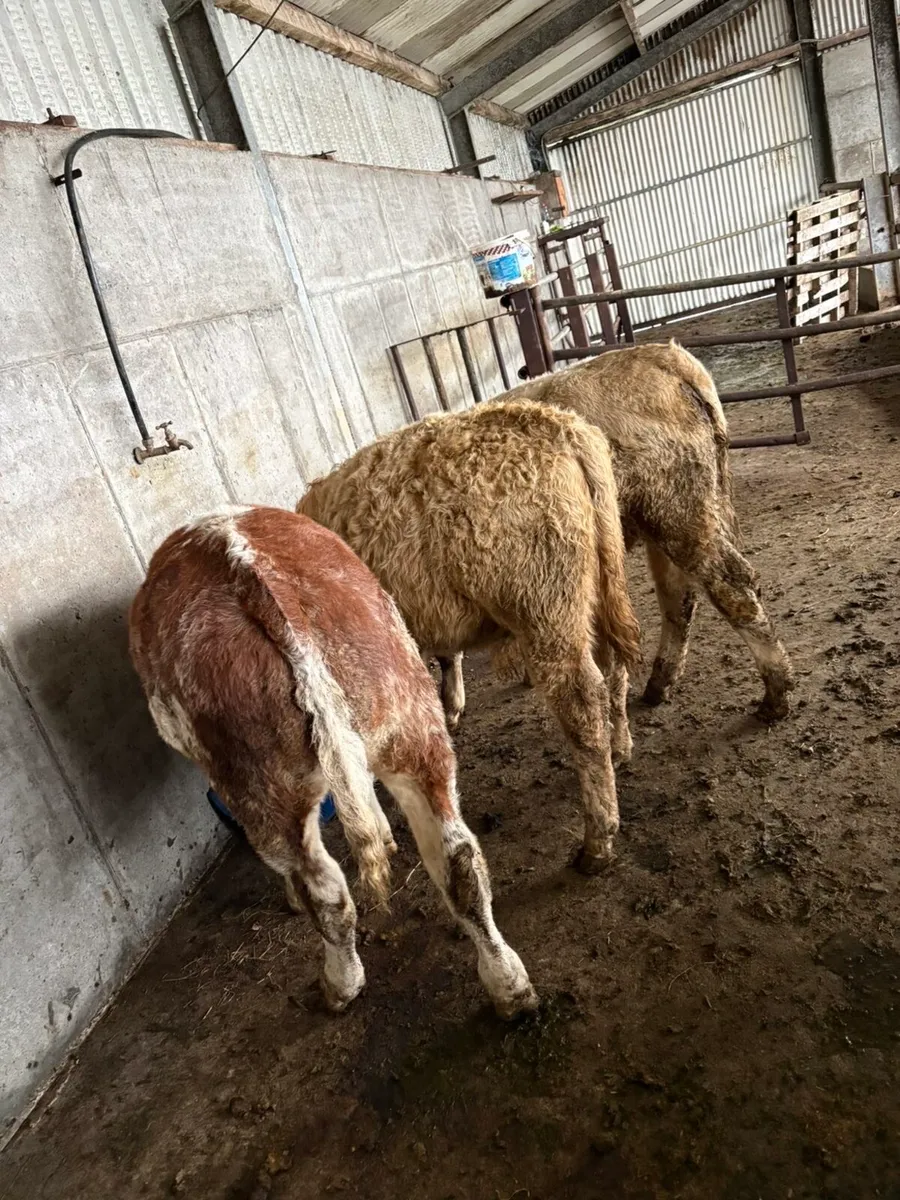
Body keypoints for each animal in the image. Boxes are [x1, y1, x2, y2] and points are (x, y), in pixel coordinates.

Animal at [128, 506, 536, 1019]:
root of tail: (246, 569)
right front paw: (385, 837)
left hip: (261, 783)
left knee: (323, 889)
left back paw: (339, 985)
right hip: (410, 722)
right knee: (458, 858)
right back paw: (510, 985)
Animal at [298, 400, 642, 875]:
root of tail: (558, 425)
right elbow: (444, 657)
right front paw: (450, 706)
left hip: (544, 608)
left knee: (582, 703)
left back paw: (597, 843)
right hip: (599, 586)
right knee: (614, 666)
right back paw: (620, 746)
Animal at [438, 343, 794, 726]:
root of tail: (665, 357)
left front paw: (452, 705)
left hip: (678, 513)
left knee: (731, 585)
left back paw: (775, 696)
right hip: (666, 521)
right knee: (679, 597)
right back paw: (658, 684)